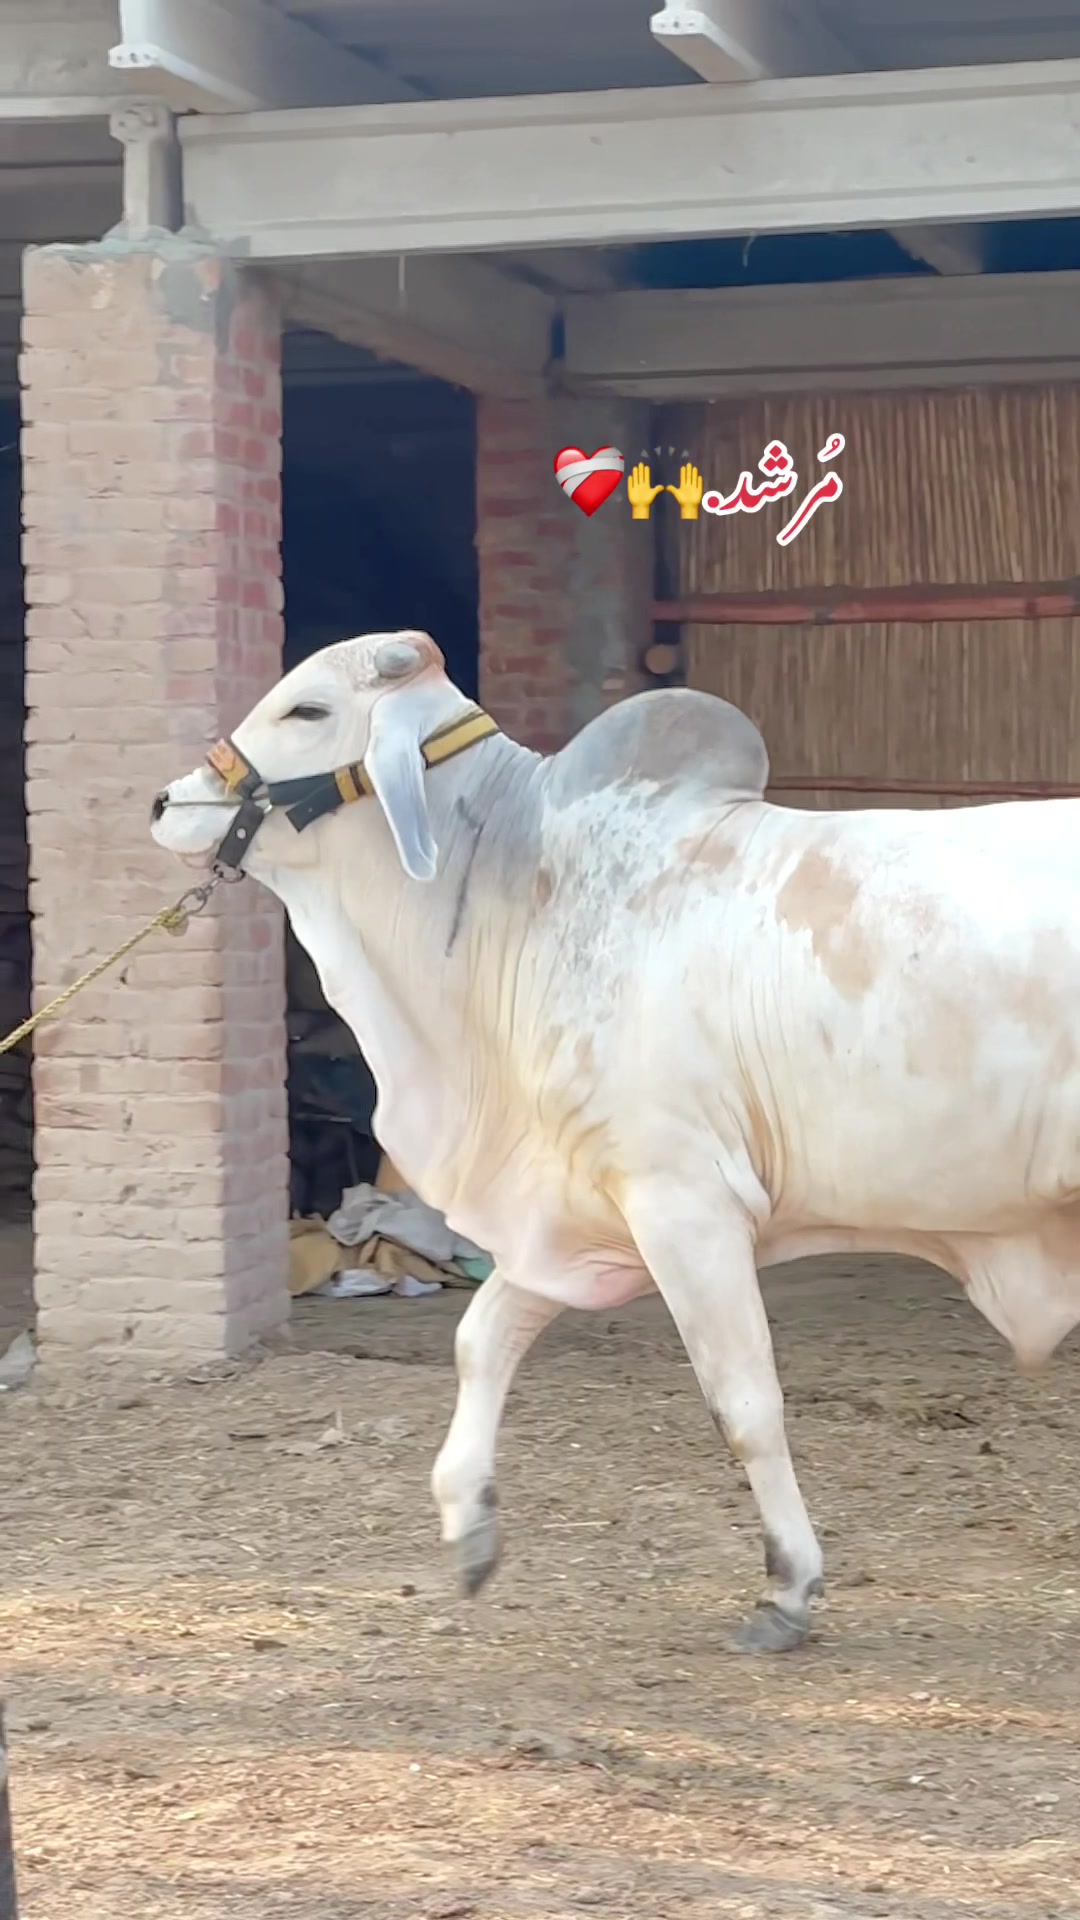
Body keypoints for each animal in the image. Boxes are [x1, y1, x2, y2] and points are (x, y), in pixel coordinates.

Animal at [150, 629, 1080, 1651]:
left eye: (307, 710)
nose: (167, 802)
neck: (527, 899)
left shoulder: (686, 1204)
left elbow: (746, 1404)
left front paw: (788, 1588)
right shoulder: (576, 1208)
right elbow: (480, 1339)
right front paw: (469, 1528)